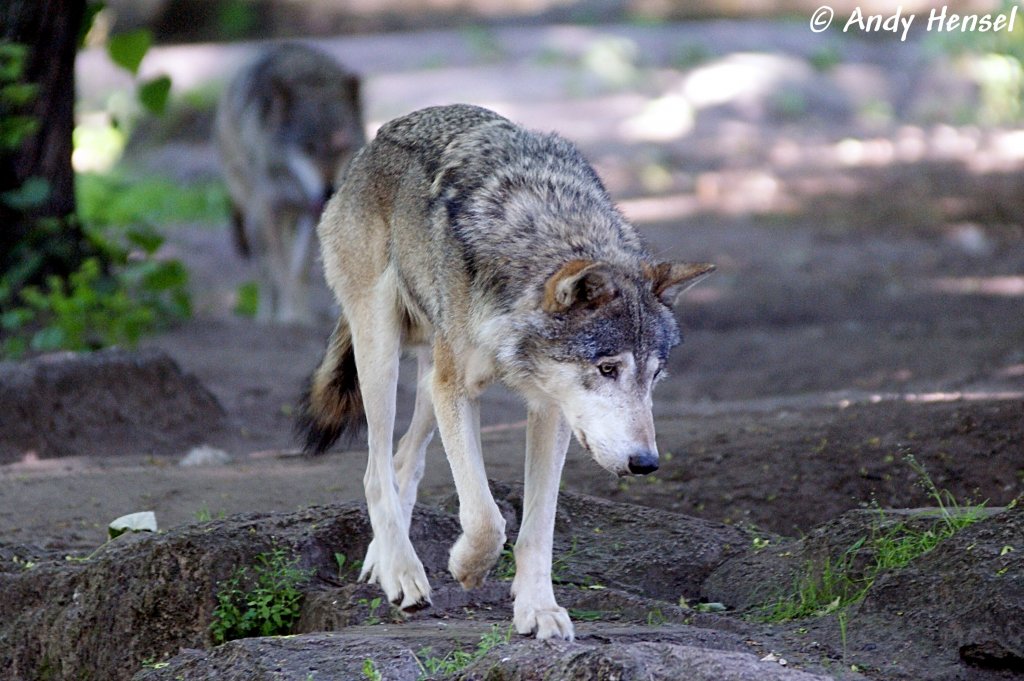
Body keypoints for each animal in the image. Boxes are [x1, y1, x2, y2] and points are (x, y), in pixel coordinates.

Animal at [214, 42, 366, 323]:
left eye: (341, 147)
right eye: (308, 148)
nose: (328, 190)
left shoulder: (311, 213)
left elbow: (299, 271)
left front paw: (299, 314)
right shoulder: (270, 211)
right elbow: (281, 269)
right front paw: (290, 317)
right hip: (254, 221)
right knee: (265, 273)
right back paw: (266, 316)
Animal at [296, 102, 712, 639]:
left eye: (655, 376)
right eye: (607, 368)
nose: (646, 463)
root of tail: (375, 141)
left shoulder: (550, 407)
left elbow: (538, 526)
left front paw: (539, 609)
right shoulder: (457, 389)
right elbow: (486, 518)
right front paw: (467, 568)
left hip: (428, 378)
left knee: (404, 461)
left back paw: (381, 560)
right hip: (382, 353)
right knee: (374, 469)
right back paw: (402, 572)